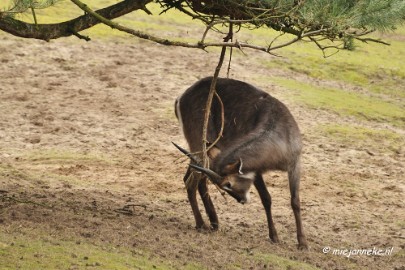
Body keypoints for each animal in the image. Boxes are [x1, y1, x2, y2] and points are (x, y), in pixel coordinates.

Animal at [172, 76, 308, 249]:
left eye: (228, 184)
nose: (241, 200)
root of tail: (182, 96)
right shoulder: (257, 171)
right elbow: (266, 199)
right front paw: (274, 236)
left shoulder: (295, 164)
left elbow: (295, 201)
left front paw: (302, 243)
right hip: (200, 147)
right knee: (191, 182)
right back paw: (202, 224)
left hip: (204, 151)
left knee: (195, 179)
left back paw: (214, 222)